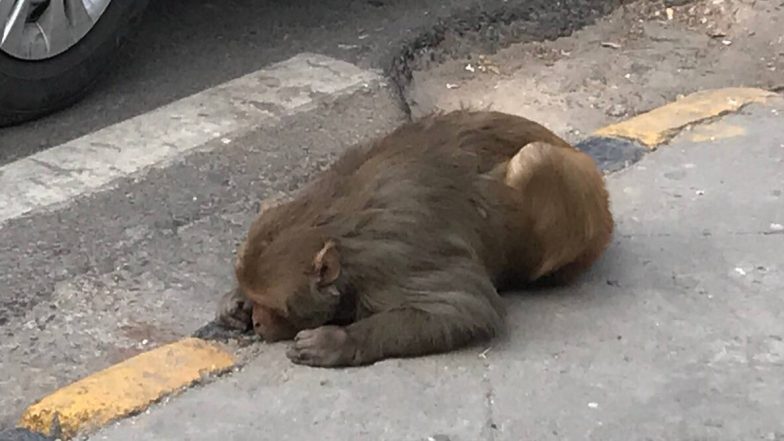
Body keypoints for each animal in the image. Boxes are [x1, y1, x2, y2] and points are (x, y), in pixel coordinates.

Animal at [215, 109, 613, 367]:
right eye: (255, 297)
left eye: (276, 307)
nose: (259, 323)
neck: (337, 224)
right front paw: (235, 304)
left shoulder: (391, 261)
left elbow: (467, 308)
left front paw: (339, 341)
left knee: (535, 159)